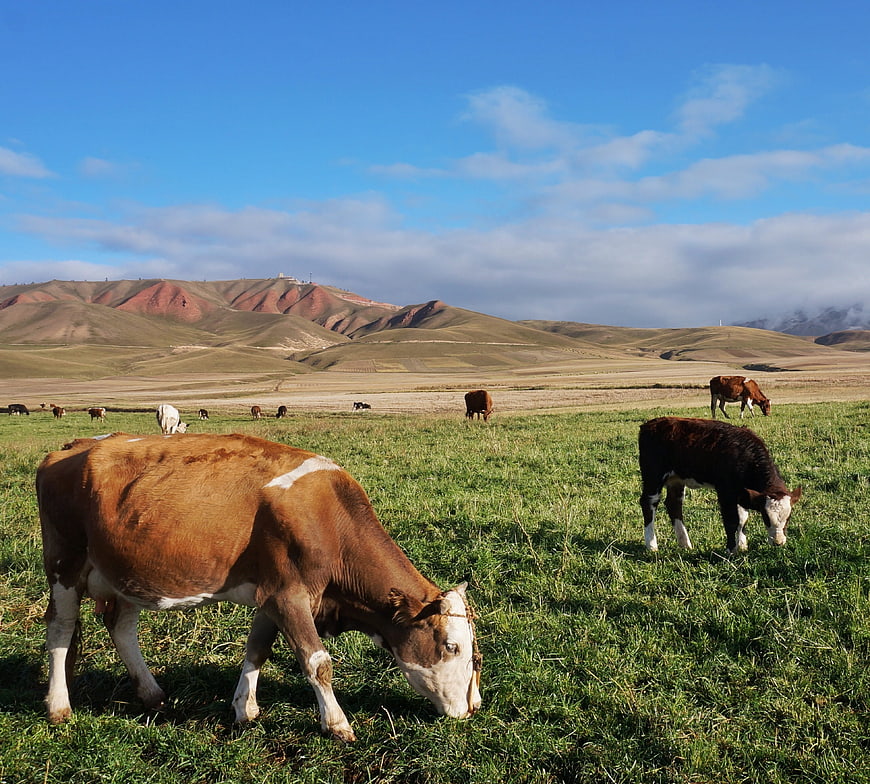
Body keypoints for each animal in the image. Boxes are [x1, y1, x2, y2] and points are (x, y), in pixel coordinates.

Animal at [37, 433, 482, 741]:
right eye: (451, 647)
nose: (473, 707)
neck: (328, 519)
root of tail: (71, 448)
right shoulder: (289, 597)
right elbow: (317, 662)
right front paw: (337, 723)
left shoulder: (272, 594)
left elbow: (257, 650)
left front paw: (244, 709)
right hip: (64, 563)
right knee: (60, 628)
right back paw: (58, 706)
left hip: (126, 572)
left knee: (121, 627)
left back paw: (152, 693)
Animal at [638, 417, 801, 554]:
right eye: (766, 517)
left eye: (788, 518)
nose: (778, 542)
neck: (745, 454)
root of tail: (650, 424)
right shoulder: (725, 490)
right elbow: (731, 520)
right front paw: (731, 550)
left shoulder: (743, 492)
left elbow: (743, 518)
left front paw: (742, 545)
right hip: (653, 476)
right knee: (649, 503)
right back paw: (651, 545)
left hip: (677, 479)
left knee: (674, 504)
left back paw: (685, 544)